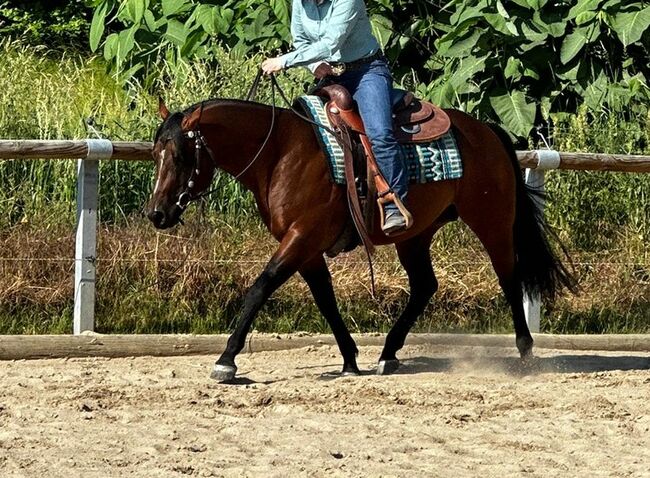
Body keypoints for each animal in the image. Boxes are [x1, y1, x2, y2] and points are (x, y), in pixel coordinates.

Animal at [146, 95, 572, 382]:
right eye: (155, 155)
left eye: (181, 156)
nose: (157, 213)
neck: (280, 152)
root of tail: (488, 131)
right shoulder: (307, 248)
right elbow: (325, 300)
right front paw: (350, 360)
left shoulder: (300, 238)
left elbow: (260, 287)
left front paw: (226, 360)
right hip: (415, 235)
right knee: (424, 286)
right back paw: (388, 354)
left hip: (493, 222)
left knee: (509, 277)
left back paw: (525, 351)